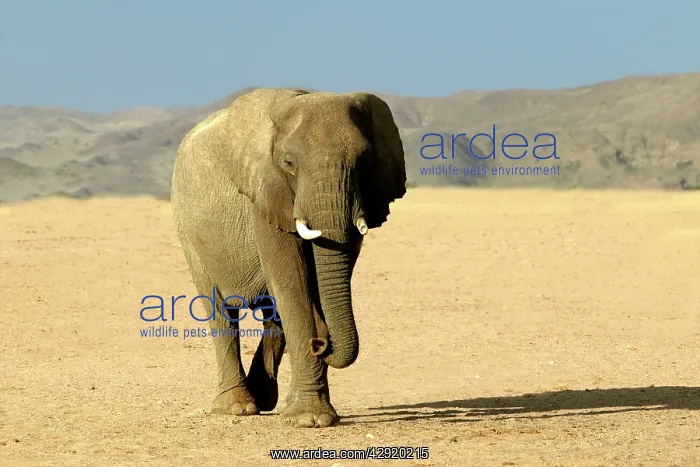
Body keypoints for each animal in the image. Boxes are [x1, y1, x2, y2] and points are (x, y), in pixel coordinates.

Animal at [170, 88, 406, 428]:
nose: (321, 344)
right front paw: (310, 420)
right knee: (219, 308)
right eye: (288, 162)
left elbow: (317, 284)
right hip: (188, 229)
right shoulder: (264, 192)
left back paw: (266, 400)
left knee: (272, 314)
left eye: (365, 161)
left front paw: (308, 414)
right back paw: (237, 408)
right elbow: (292, 282)